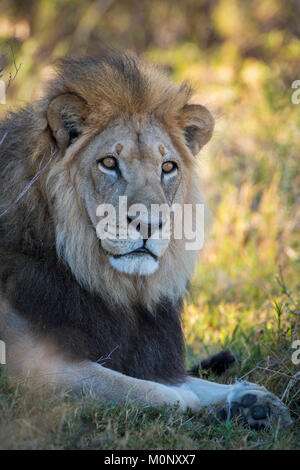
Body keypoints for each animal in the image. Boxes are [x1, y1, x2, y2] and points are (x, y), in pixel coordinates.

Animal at [0, 49, 290, 428]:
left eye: (167, 167)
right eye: (109, 163)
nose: (150, 224)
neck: (113, 288)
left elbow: (184, 380)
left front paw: (251, 400)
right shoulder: (26, 361)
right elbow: (128, 385)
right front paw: (187, 400)